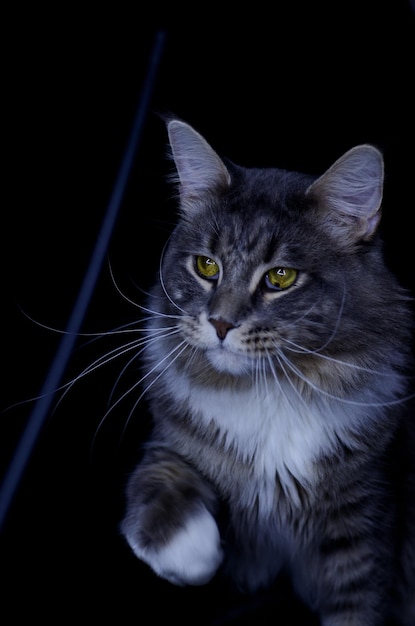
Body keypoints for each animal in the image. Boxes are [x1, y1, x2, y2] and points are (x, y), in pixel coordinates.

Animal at [119, 118, 415, 624]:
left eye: (280, 277)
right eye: (206, 266)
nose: (220, 323)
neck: (272, 389)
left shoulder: (366, 519)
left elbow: (357, 608)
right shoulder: (170, 439)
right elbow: (158, 478)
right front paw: (195, 555)